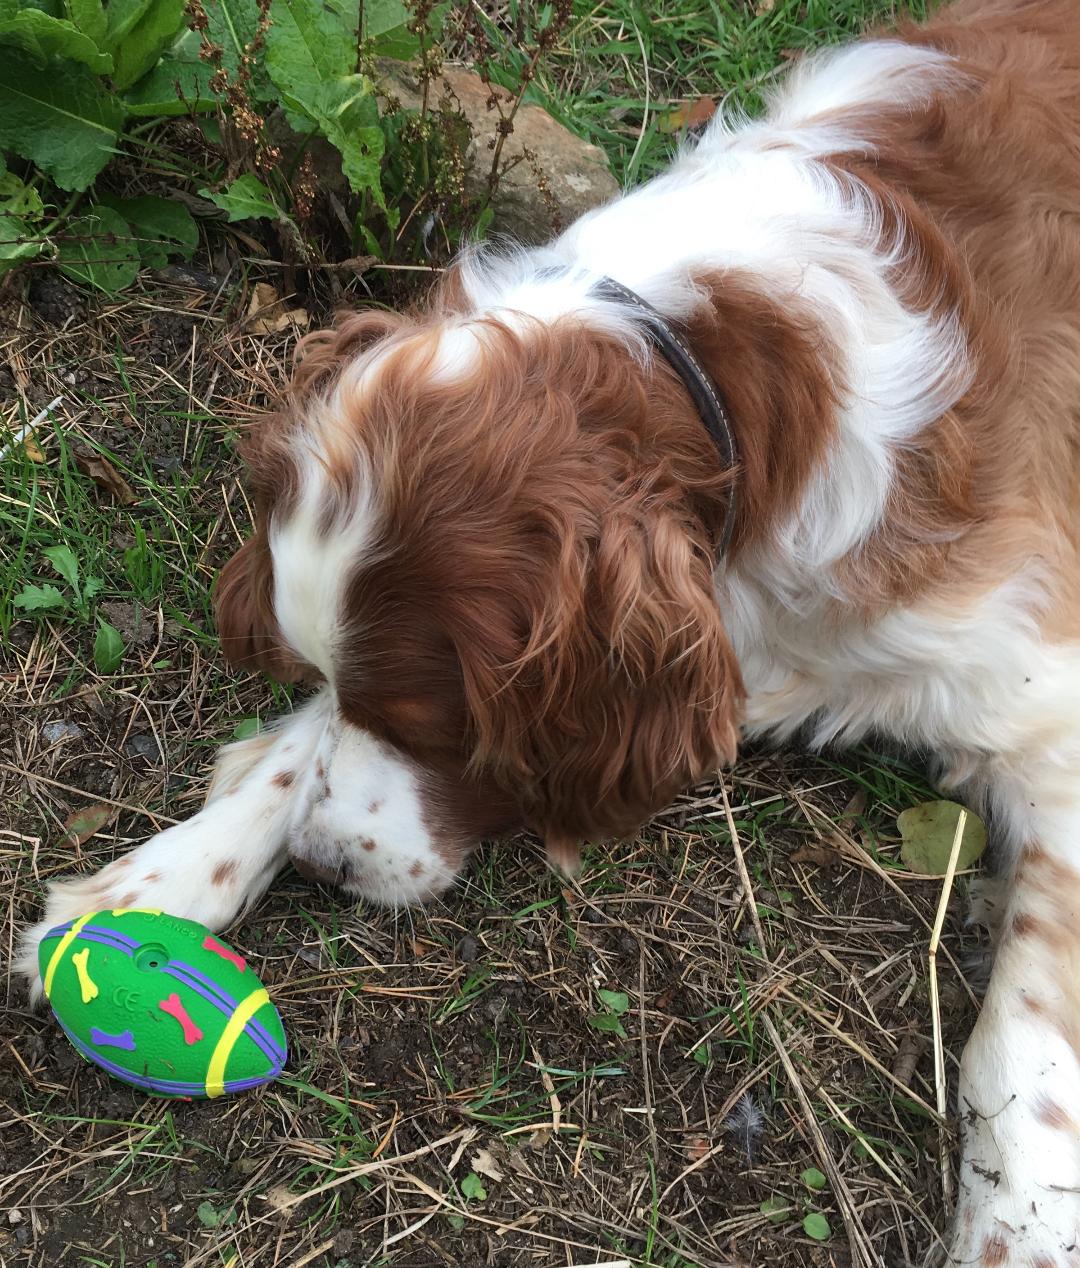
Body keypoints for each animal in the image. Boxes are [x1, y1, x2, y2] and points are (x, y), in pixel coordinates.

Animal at [19, 4, 1080, 1262]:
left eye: (442, 727)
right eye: (346, 683)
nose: (323, 866)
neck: (713, 376)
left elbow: (1023, 1032)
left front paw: (1019, 1223)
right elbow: (300, 748)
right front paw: (153, 882)